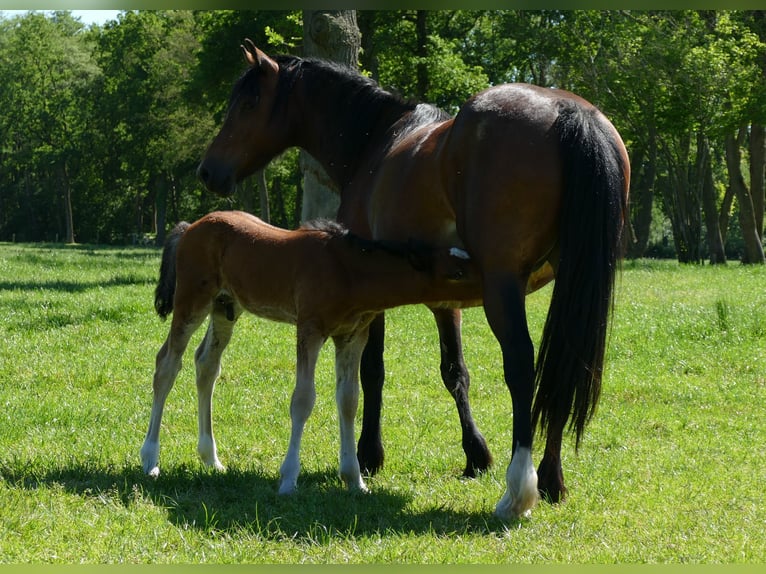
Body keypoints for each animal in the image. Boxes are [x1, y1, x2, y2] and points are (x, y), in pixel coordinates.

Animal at [139, 210, 482, 495]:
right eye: (455, 273)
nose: (487, 288)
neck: (348, 270)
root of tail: (189, 228)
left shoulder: (352, 336)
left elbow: (349, 400)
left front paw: (354, 480)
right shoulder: (310, 329)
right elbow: (303, 400)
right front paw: (288, 480)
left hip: (225, 307)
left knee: (206, 364)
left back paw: (211, 458)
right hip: (191, 301)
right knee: (167, 364)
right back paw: (150, 459)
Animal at [196, 41, 630, 520]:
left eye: (249, 102)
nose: (208, 171)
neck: (376, 140)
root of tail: (570, 112)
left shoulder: (370, 295)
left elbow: (372, 372)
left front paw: (368, 455)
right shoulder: (445, 300)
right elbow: (454, 371)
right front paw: (475, 454)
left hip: (503, 289)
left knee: (522, 366)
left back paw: (518, 490)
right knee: (563, 369)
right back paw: (552, 479)